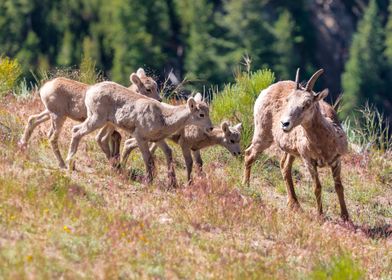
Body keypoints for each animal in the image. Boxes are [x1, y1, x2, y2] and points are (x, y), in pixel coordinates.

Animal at [17, 68, 157, 168]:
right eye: (148, 89)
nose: (159, 99)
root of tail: (44, 88)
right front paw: (114, 162)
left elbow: (116, 137)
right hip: (58, 116)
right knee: (52, 136)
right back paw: (63, 164)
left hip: (49, 112)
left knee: (32, 120)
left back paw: (22, 147)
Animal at [64, 84, 213, 187]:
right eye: (201, 114)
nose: (210, 127)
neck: (164, 118)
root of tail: (90, 91)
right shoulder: (140, 137)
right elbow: (148, 159)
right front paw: (149, 181)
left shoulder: (157, 139)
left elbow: (168, 154)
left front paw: (173, 183)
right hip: (96, 119)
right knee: (77, 131)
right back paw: (69, 162)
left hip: (105, 122)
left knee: (95, 137)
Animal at [245, 68, 350, 221]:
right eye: (288, 100)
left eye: (307, 103)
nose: (284, 123)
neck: (325, 143)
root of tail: (265, 91)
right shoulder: (309, 161)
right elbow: (317, 187)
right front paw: (320, 215)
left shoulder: (336, 161)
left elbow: (339, 187)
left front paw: (346, 217)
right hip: (263, 135)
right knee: (249, 154)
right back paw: (246, 186)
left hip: (290, 151)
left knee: (284, 167)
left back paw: (295, 204)